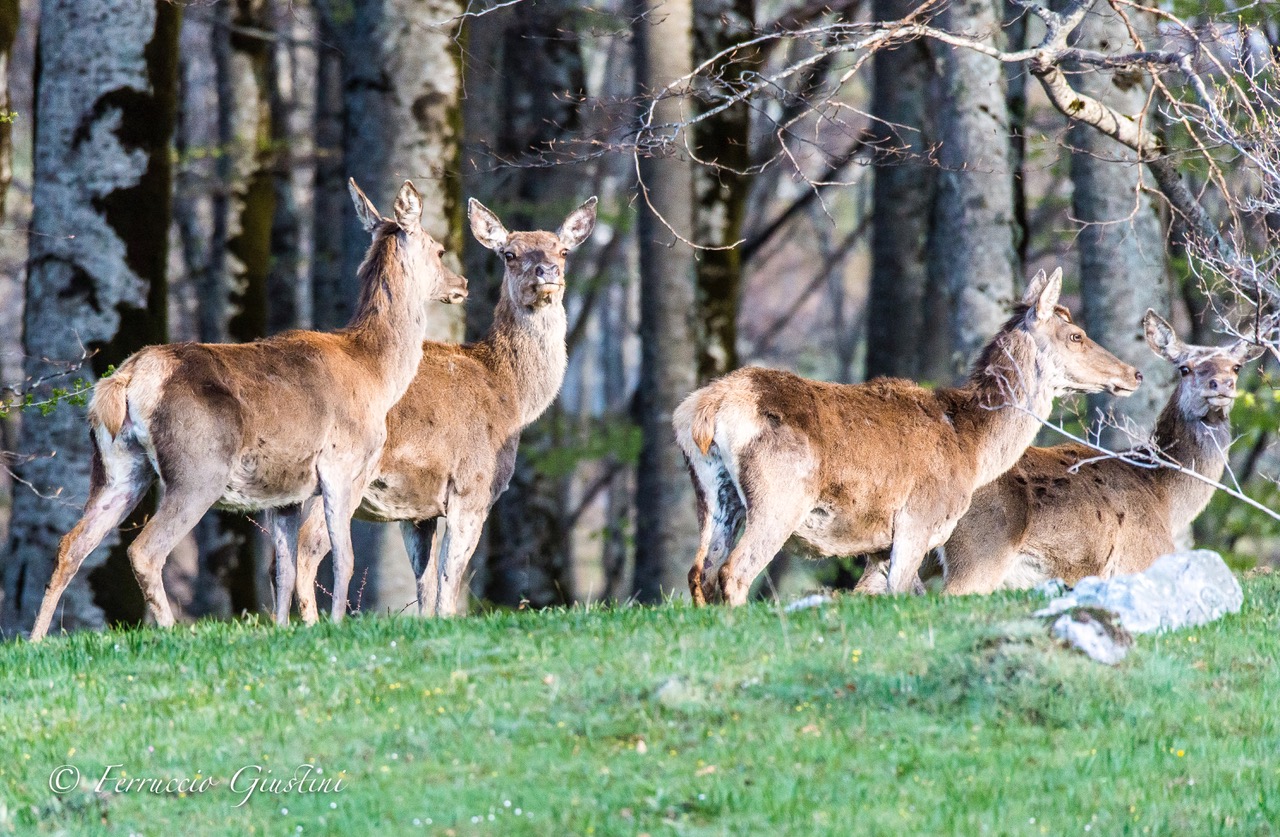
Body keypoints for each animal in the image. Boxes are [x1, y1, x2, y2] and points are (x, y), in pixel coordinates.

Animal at [28, 180, 467, 641]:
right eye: (440, 250)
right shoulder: (344, 465)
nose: (463, 282)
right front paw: (334, 624)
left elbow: (283, 571)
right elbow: (341, 558)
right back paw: (170, 631)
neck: (376, 375)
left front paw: (286, 630)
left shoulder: (287, 494)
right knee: (144, 550)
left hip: (117, 467)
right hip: (198, 468)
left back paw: (37, 639)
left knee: (70, 545)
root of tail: (126, 380)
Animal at [289, 196, 597, 621]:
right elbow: (450, 579)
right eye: (509, 253)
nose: (547, 271)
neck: (512, 397)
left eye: (563, 250)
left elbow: (425, 584)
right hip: (340, 472)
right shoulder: (473, 484)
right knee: (308, 548)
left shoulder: (416, 510)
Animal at [673, 268, 1143, 605]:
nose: (1134, 373)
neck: (973, 448)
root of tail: (703, 411)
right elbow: (904, 593)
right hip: (780, 495)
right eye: (1076, 335)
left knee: (699, 572)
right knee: (735, 571)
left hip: (712, 493)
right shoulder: (919, 520)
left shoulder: (882, 545)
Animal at [939, 309, 1268, 594]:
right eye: (1185, 369)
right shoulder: (1141, 557)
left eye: (1236, 367)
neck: (1164, 499)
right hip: (981, 551)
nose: (1220, 384)